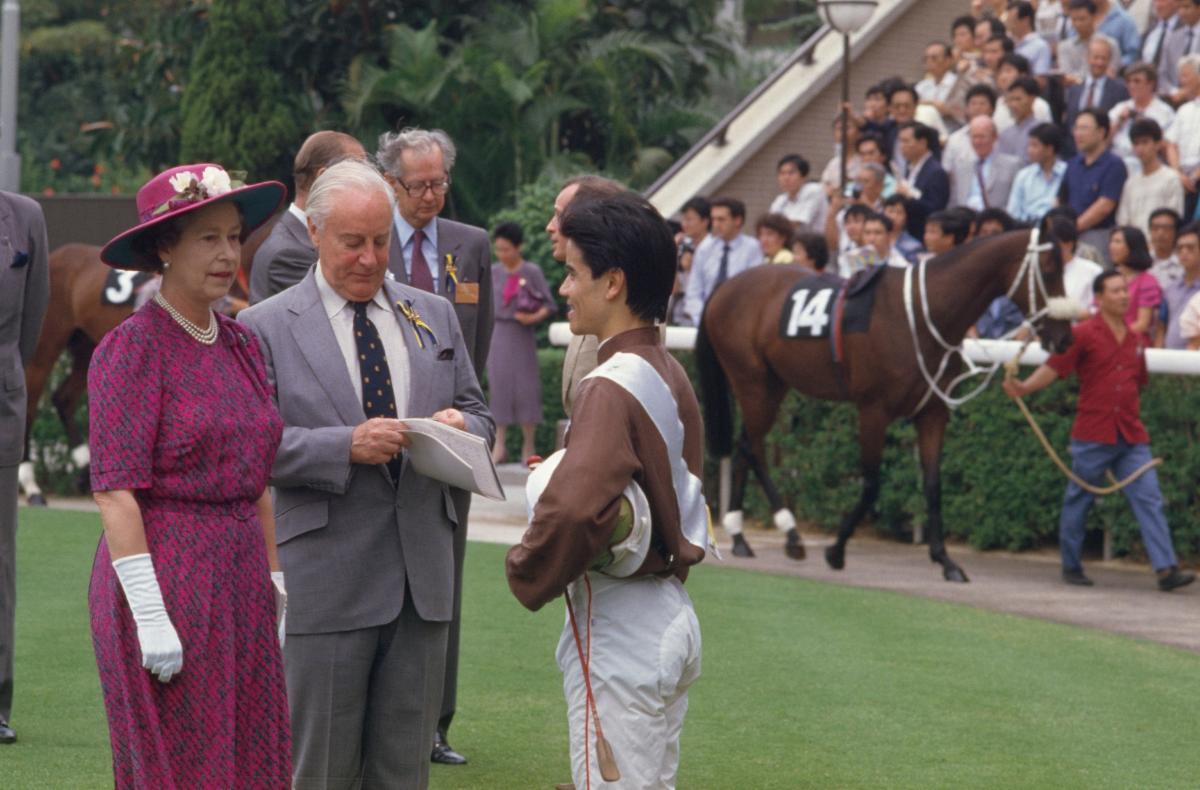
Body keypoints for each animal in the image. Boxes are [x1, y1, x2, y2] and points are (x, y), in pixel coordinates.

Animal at [22, 217, 277, 499]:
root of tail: (59, 254)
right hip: (46, 342)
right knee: (31, 402)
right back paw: (32, 485)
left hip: (86, 346)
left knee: (64, 398)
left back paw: (82, 468)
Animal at [700, 228, 1075, 578]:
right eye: (1049, 268)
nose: (1064, 338)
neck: (920, 315)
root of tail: (724, 287)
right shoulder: (873, 410)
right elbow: (871, 483)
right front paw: (836, 550)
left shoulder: (932, 412)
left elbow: (933, 485)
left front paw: (945, 560)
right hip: (752, 382)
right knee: (753, 448)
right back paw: (789, 534)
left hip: (773, 384)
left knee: (747, 445)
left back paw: (741, 537)